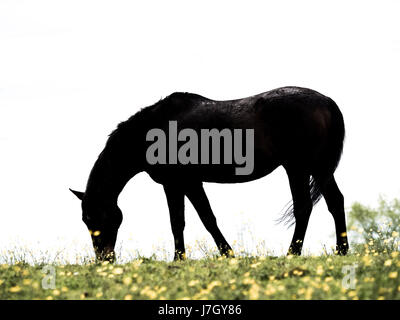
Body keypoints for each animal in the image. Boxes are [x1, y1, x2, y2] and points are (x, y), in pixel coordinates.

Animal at [70, 86, 348, 262]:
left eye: (91, 218)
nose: (104, 259)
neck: (153, 131)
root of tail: (326, 101)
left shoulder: (183, 183)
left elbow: (195, 220)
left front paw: (211, 255)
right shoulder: (181, 184)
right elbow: (189, 220)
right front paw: (193, 256)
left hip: (299, 168)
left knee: (303, 207)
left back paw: (293, 253)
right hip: (317, 169)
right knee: (335, 202)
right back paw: (341, 250)